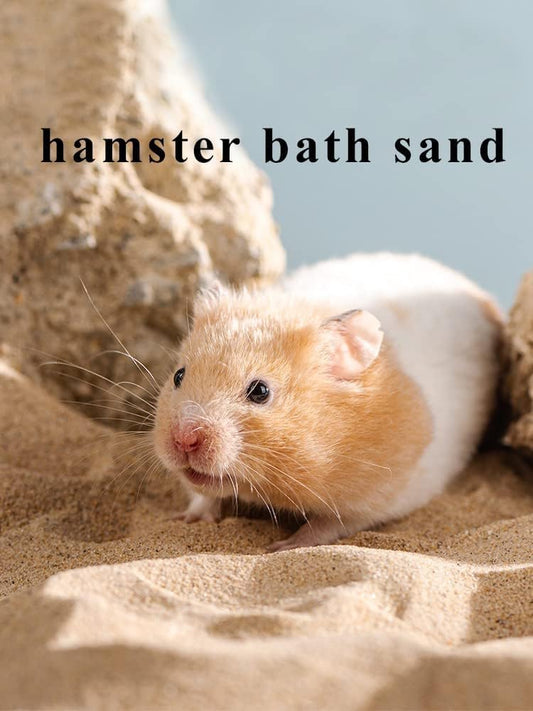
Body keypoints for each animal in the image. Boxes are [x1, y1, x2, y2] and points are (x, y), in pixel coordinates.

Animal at [153, 253, 502, 551]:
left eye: (260, 392)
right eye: (179, 375)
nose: (184, 440)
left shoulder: (378, 496)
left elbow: (329, 524)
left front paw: (282, 546)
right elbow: (204, 496)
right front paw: (186, 519)